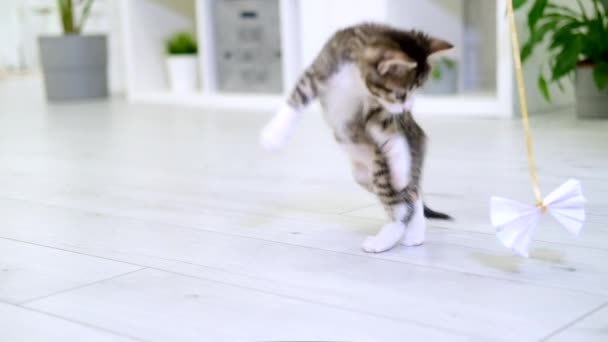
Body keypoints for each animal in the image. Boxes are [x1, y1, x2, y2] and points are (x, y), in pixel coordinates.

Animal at [260, 22, 452, 252]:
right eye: (401, 94)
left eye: (415, 91)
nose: (407, 109)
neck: (355, 77)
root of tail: (419, 136)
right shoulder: (319, 71)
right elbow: (297, 98)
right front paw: (275, 135)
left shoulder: (377, 107)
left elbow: (391, 132)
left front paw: (400, 167)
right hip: (364, 175)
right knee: (411, 197)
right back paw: (414, 233)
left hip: (381, 168)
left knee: (402, 204)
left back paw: (385, 239)